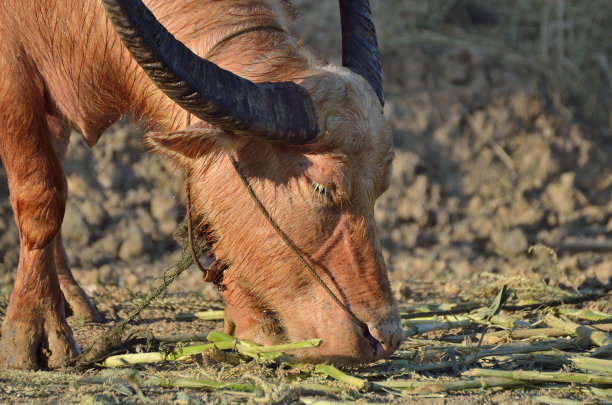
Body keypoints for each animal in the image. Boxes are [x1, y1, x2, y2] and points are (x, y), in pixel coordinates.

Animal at [0, 0, 402, 368]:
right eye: (321, 187)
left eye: (381, 189)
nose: (385, 337)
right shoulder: (13, 73)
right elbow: (41, 197)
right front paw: (32, 329)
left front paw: (253, 325)